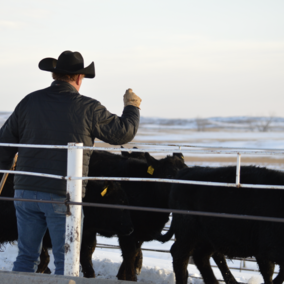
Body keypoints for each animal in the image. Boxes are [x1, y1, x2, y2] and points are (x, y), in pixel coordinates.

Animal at [83, 150, 187, 280]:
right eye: (170, 176)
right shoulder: (127, 229)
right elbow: (130, 253)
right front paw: (130, 278)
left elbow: (135, 251)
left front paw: (121, 276)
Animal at [156, 166, 284, 284]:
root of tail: (187, 171)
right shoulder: (264, 250)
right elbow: (269, 273)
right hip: (188, 233)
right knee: (180, 256)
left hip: (210, 238)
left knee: (201, 256)